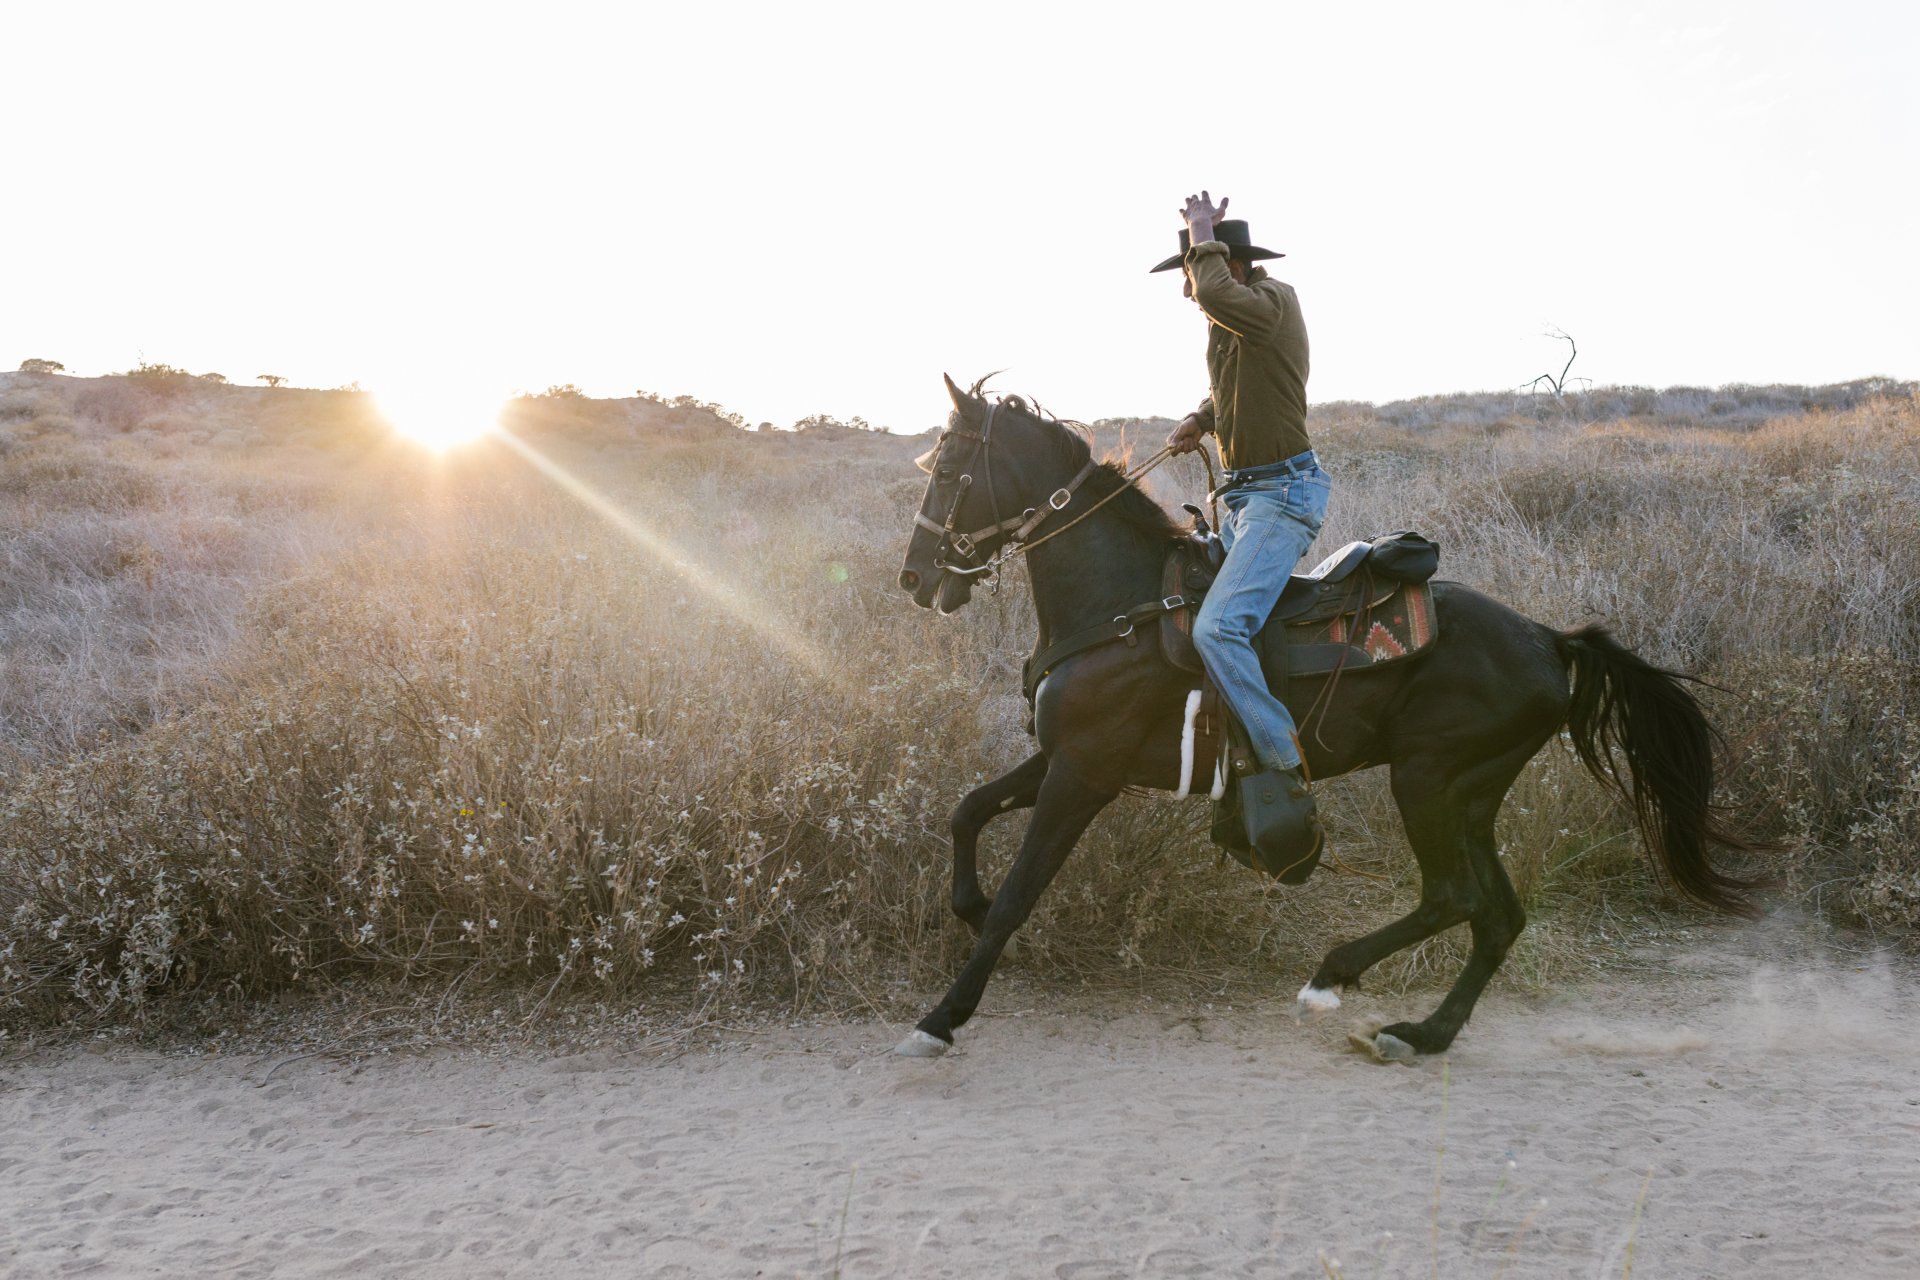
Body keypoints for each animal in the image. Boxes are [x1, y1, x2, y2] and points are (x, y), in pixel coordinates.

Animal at [890, 378, 1751, 1059]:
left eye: (950, 471)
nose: (915, 577)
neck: (1123, 605)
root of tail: (1550, 640)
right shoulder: (1061, 756)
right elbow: (967, 812)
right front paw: (965, 906)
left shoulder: (1084, 774)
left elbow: (1017, 895)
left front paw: (942, 1017)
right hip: (1473, 793)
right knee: (1498, 917)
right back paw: (1423, 1033)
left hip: (1427, 780)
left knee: (1453, 899)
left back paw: (1335, 976)